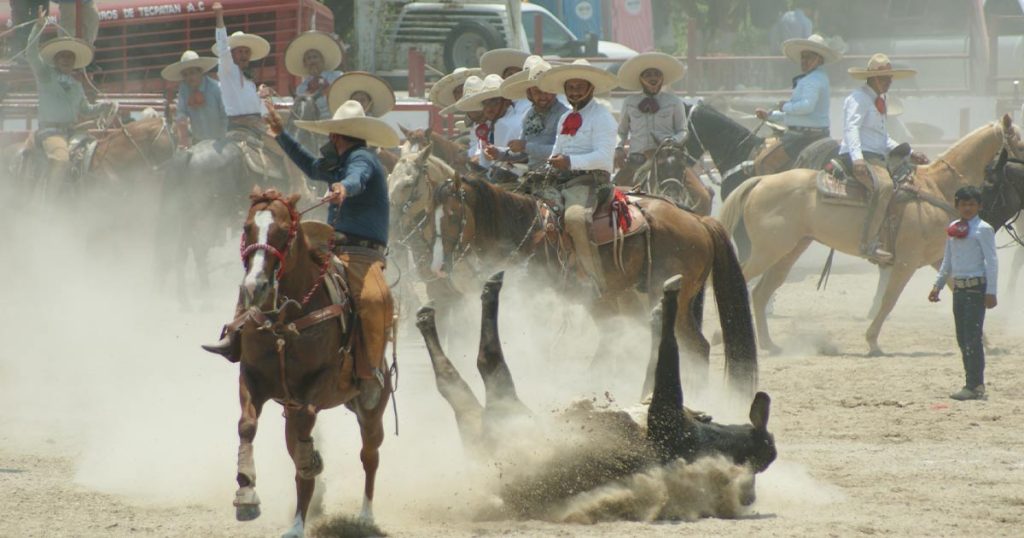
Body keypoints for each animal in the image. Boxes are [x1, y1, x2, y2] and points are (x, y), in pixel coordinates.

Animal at [230, 186, 389, 532]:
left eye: (282, 231)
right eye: (247, 227)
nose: (254, 287)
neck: (284, 320)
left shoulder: (318, 386)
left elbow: (303, 441)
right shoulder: (251, 376)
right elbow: (247, 425)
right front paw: (246, 495)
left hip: (372, 405)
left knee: (370, 454)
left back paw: (364, 516)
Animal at [432, 176, 761, 393]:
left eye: (452, 215)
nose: (440, 267)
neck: (526, 232)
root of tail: (700, 221)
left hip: (670, 300)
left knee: (694, 346)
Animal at [716, 115, 1024, 354]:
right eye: (1020, 142)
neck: (937, 187)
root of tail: (760, 181)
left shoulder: (938, 259)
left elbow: (955, 292)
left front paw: (984, 341)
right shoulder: (906, 262)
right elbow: (889, 300)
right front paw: (872, 341)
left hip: (789, 251)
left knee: (761, 291)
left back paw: (768, 344)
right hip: (768, 251)